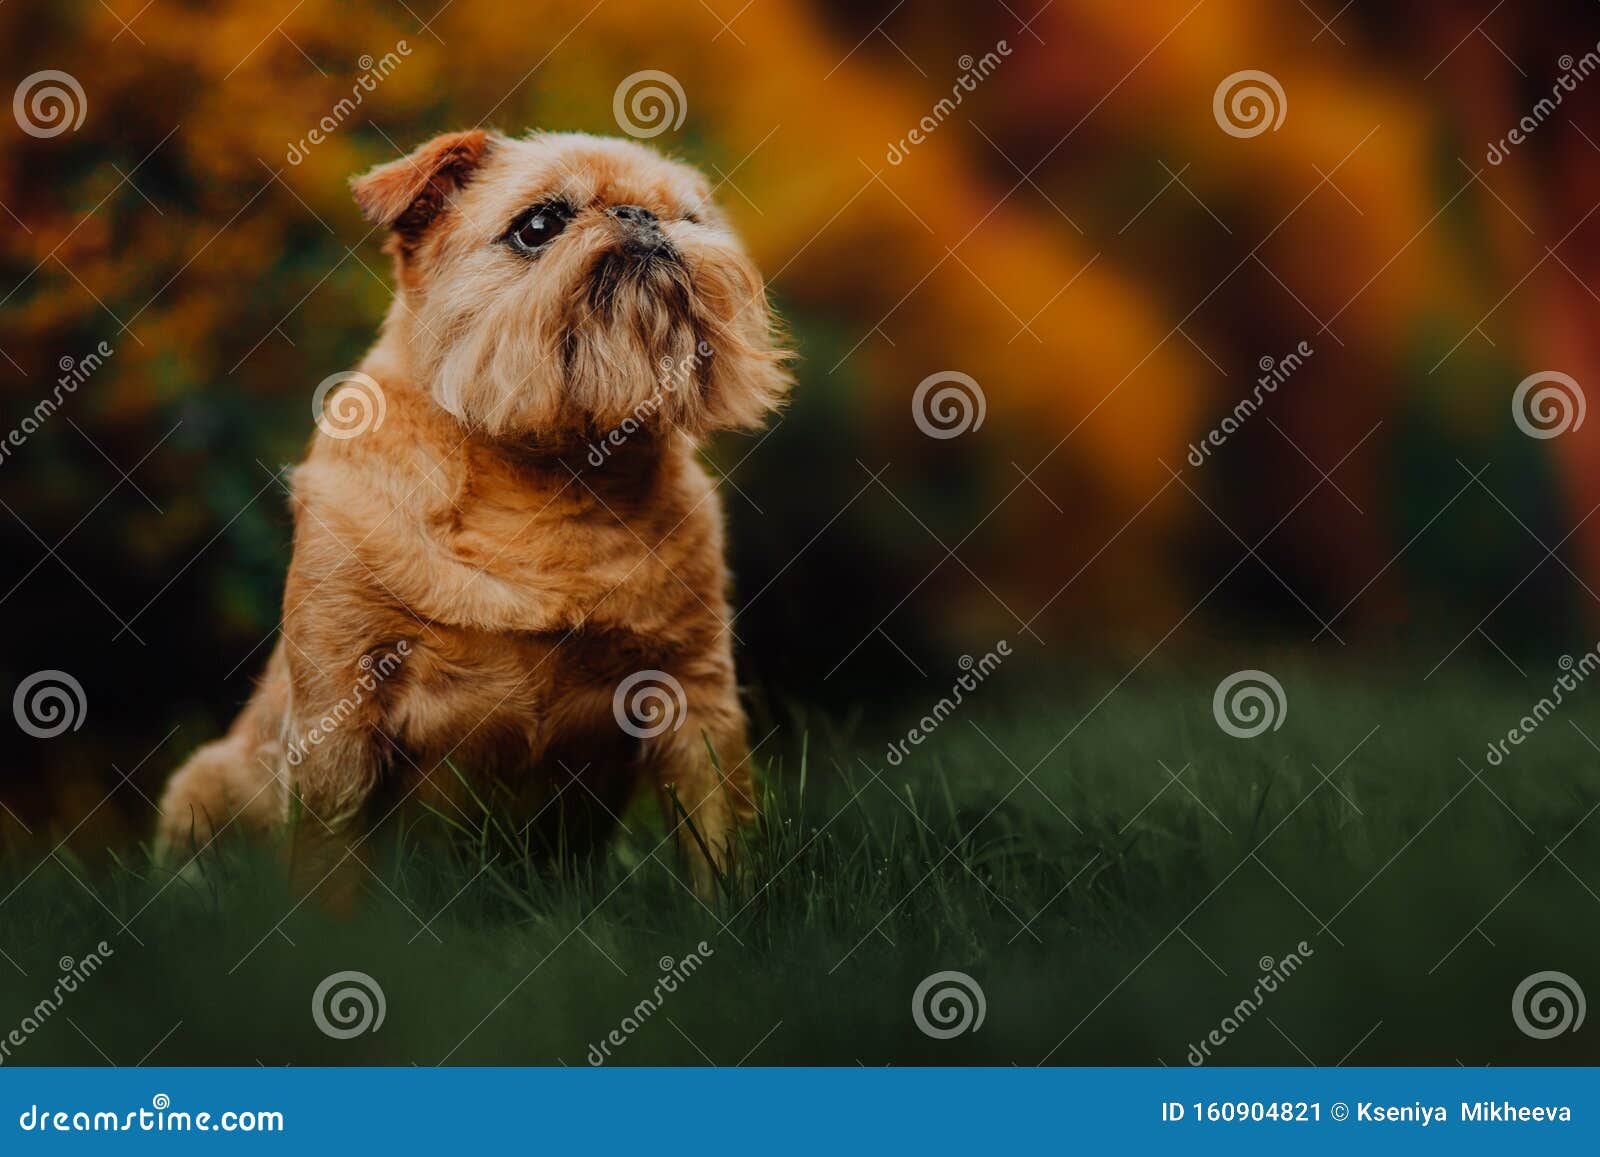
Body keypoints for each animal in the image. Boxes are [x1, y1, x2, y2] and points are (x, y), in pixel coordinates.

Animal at [156, 131, 793, 902]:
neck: (553, 474)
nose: (641, 215)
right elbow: (327, 854)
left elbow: (718, 835)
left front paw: (729, 912)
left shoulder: (694, 697)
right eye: (539, 224)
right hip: (201, 784)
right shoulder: (338, 710)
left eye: (692, 220)